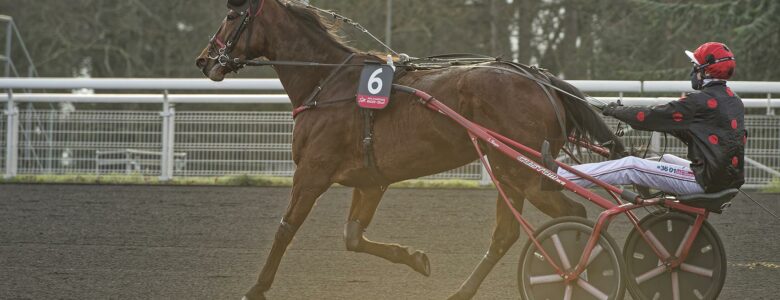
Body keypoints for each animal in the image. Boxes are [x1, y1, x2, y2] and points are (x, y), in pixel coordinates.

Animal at [198, 1, 624, 298]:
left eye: (232, 15)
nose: (205, 60)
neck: (329, 83)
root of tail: (539, 80)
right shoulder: (370, 181)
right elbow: (353, 238)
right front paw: (417, 259)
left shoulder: (312, 173)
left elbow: (286, 229)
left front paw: (256, 288)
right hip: (507, 171)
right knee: (505, 235)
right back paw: (462, 292)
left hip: (526, 172)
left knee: (576, 216)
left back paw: (576, 276)